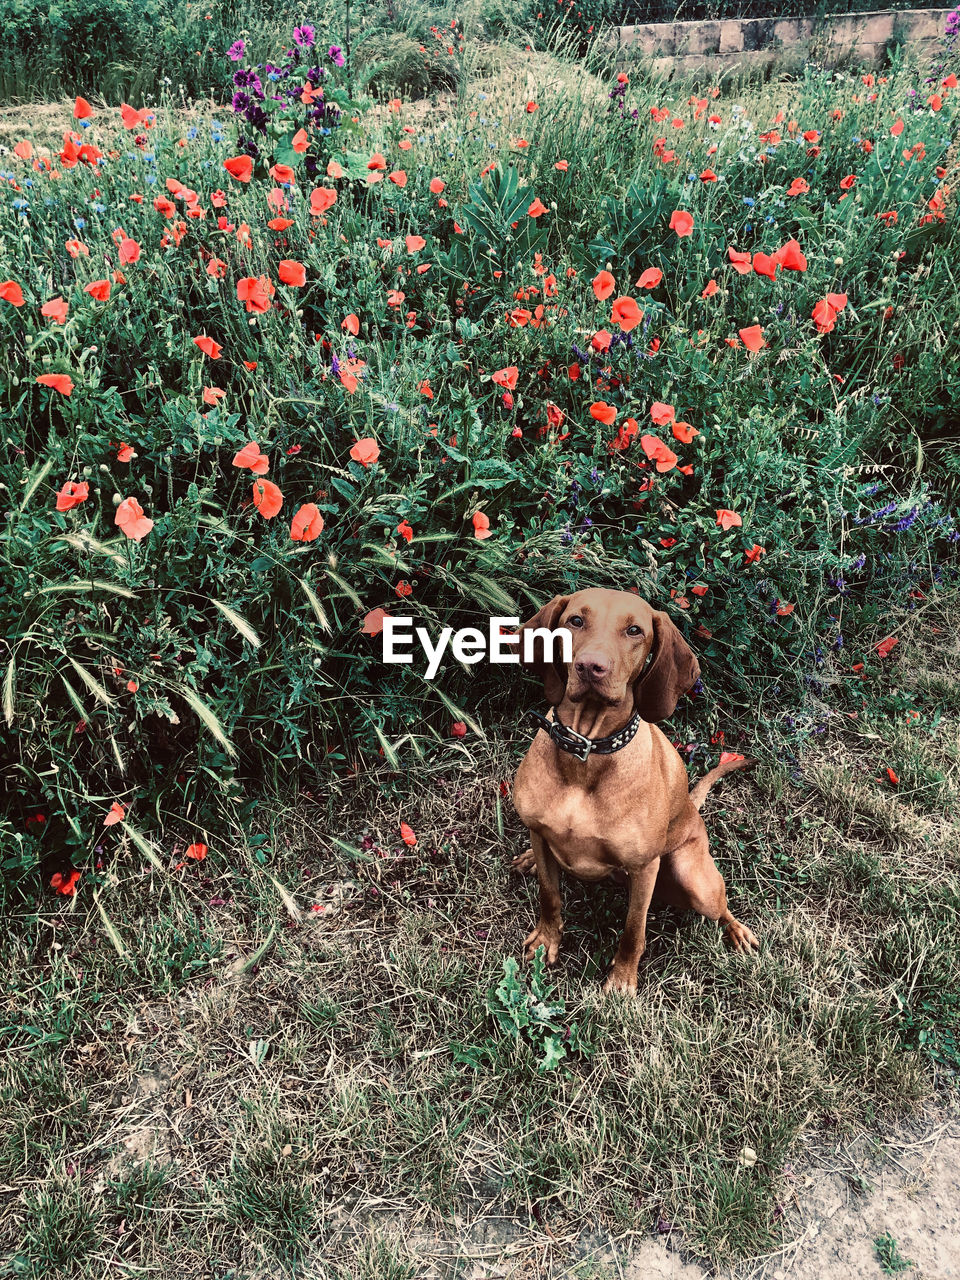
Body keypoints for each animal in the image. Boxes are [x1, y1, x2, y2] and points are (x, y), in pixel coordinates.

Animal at [512, 586, 757, 993]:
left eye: (634, 631)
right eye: (575, 620)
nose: (591, 667)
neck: (588, 751)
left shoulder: (644, 869)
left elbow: (633, 929)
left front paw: (622, 980)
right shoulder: (539, 831)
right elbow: (550, 896)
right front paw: (547, 940)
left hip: (694, 879)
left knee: (719, 906)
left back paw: (736, 930)